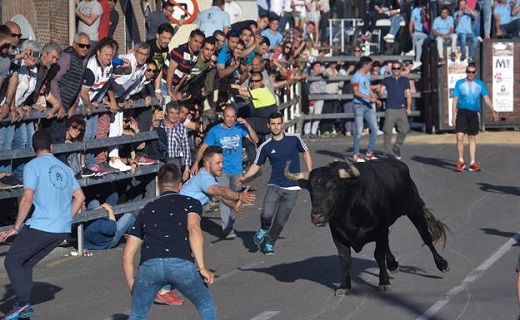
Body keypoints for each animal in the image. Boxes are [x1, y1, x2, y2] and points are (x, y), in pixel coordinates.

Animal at [286, 158, 448, 296]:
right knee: (388, 243)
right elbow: (345, 260)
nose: (317, 217)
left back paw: (442, 264)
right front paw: (344, 286)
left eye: (334, 188)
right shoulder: (338, 236)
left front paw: (384, 282)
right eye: (311, 190)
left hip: (414, 208)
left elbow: (379, 256)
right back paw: (393, 264)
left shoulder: (380, 230)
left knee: (425, 236)